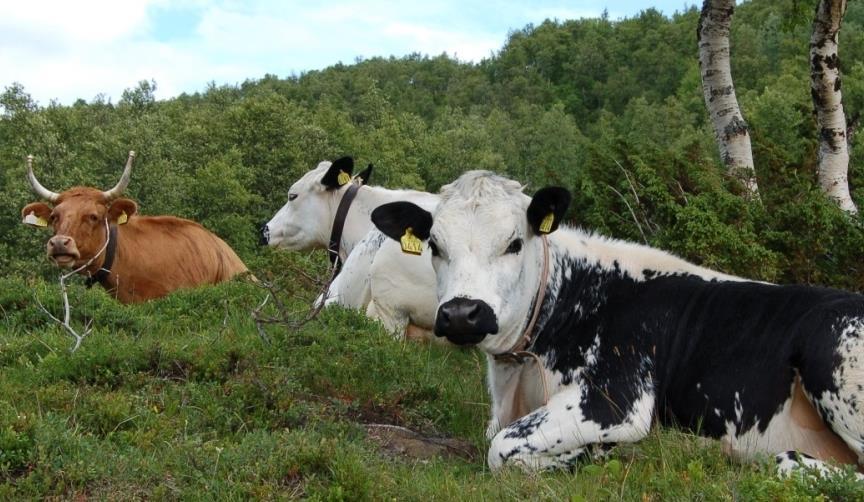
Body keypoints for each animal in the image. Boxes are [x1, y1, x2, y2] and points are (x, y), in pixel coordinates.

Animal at [372, 170, 864, 478]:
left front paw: (588, 455)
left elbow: (501, 448)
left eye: (514, 243)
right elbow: (496, 437)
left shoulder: (616, 399)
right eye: (434, 245)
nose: (462, 312)